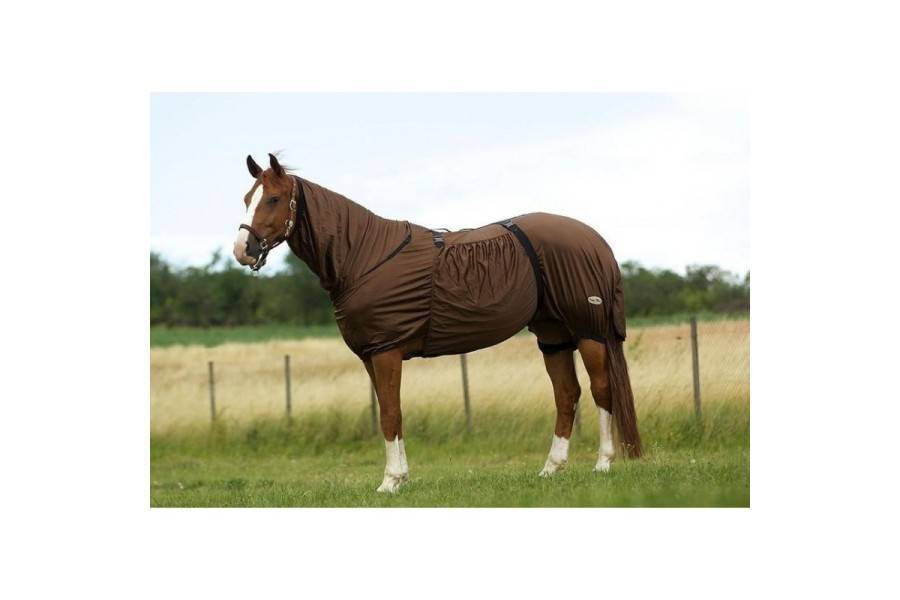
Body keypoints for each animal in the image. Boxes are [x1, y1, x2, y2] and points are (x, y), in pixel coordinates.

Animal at [234, 153, 641, 493]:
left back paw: (603, 464)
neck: (364, 256)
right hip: (553, 336)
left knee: (601, 390)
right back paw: (551, 468)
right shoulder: (372, 355)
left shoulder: (386, 352)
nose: (243, 250)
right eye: (247, 198)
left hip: (589, 332)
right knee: (566, 395)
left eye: (273, 199)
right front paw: (400, 477)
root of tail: (595, 240)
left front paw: (390, 482)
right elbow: (390, 413)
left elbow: (391, 413)